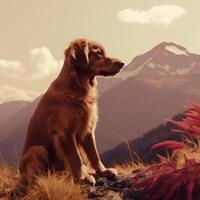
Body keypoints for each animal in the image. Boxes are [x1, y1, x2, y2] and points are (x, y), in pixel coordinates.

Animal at [13, 38, 124, 196]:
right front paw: (83, 177)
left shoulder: (88, 130)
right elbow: (75, 157)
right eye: (99, 53)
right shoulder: (65, 132)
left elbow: (94, 154)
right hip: (39, 149)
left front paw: (102, 171)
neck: (79, 86)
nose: (122, 63)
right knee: (38, 176)